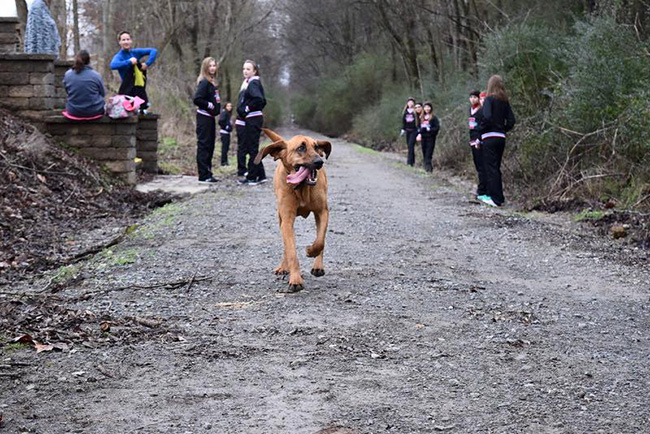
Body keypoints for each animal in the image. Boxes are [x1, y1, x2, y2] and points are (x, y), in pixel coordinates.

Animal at [253, 127, 332, 294]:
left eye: (316, 147)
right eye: (301, 148)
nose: (319, 162)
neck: (302, 188)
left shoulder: (322, 212)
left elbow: (320, 241)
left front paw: (311, 251)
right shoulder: (287, 220)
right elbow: (291, 252)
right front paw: (295, 280)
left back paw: (318, 266)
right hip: (280, 218)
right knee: (285, 245)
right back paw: (284, 267)